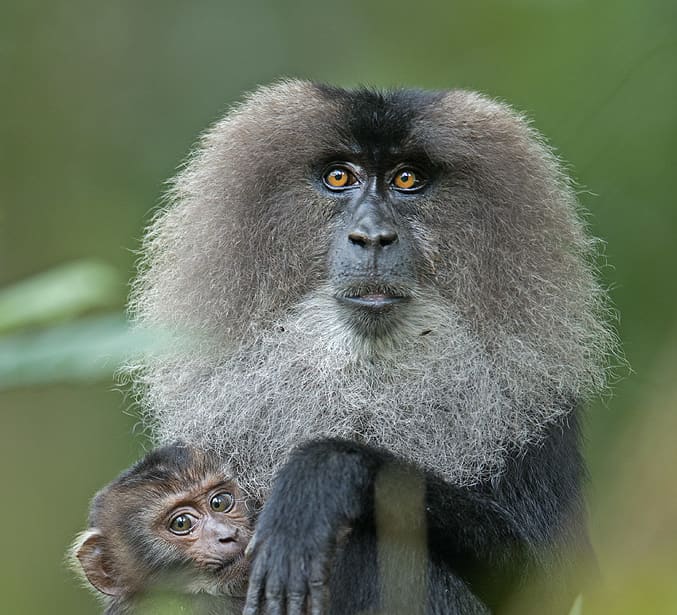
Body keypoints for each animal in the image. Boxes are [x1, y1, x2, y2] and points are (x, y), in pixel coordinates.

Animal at [127, 80, 617, 613]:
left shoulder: (543, 422)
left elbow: (554, 586)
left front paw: (323, 476)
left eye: (407, 179)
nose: (373, 236)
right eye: (339, 176)